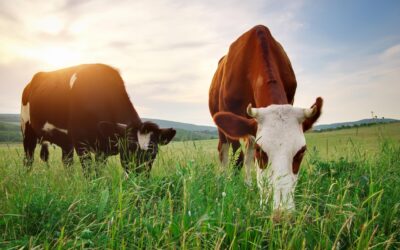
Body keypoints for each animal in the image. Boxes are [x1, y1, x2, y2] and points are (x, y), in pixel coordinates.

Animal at [21, 63, 176, 175]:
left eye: (153, 153)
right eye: (129, 150)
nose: (140, 179)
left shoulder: (102, 148)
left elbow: (98, 171)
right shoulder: (80, 141)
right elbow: (89, 171)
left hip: (66, 141)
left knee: (67, 161)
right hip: (27, 129)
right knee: (28, 159)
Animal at [209, 25, 322, 210]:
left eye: (301, 152)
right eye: (261, 151)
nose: (281, 210)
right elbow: (237, 157)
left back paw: (248, 185)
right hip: (222, 126)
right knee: (225, 151)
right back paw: (223, 179)